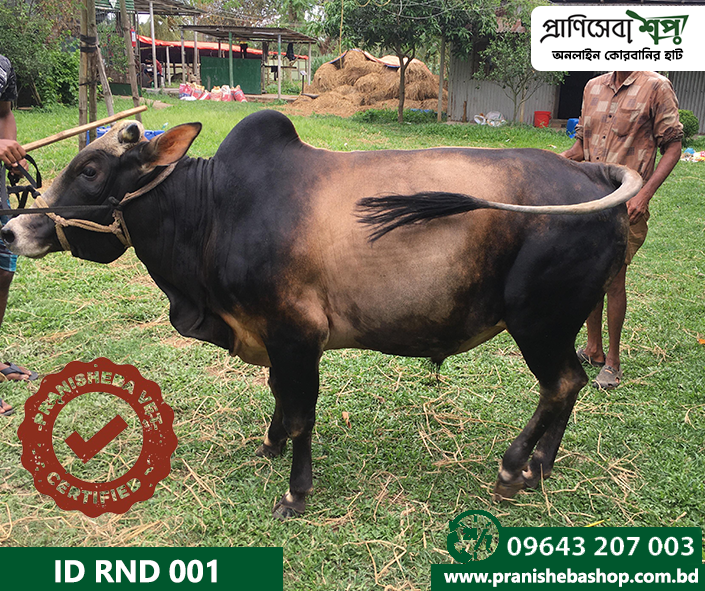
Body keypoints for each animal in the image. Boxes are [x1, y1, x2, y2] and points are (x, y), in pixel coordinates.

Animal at [2, 110, 642, 519]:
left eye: (90, 170)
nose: (13, 229)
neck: (214, 208)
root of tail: (591, 172)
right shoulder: (271, 335)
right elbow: (280, 398)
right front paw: (269, 444)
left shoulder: (297, 333)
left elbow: (301, 413)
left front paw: (295, 493)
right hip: (554, 323)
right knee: (570, 383)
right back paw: (539, 468)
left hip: (538, 320)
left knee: (561, 382)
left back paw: (514, 469)